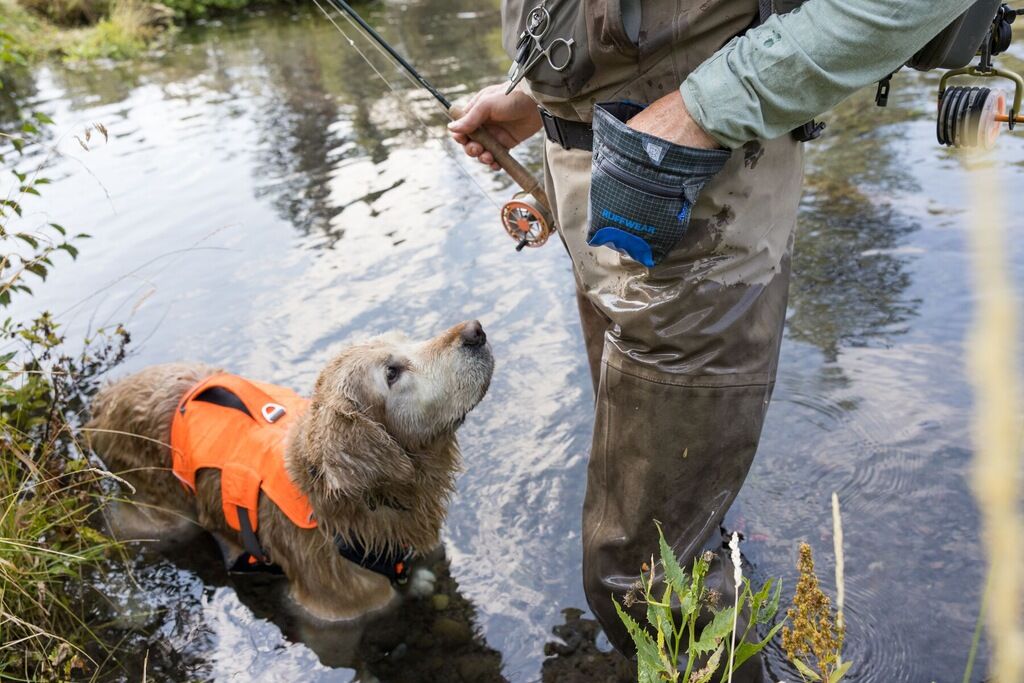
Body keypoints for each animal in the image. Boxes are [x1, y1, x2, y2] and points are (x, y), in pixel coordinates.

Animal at [86, 321, 493, 618]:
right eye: (392, 373)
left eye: (409, 340)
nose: (476, 330)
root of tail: (104, 400)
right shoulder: (336, 611)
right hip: (159, 516)